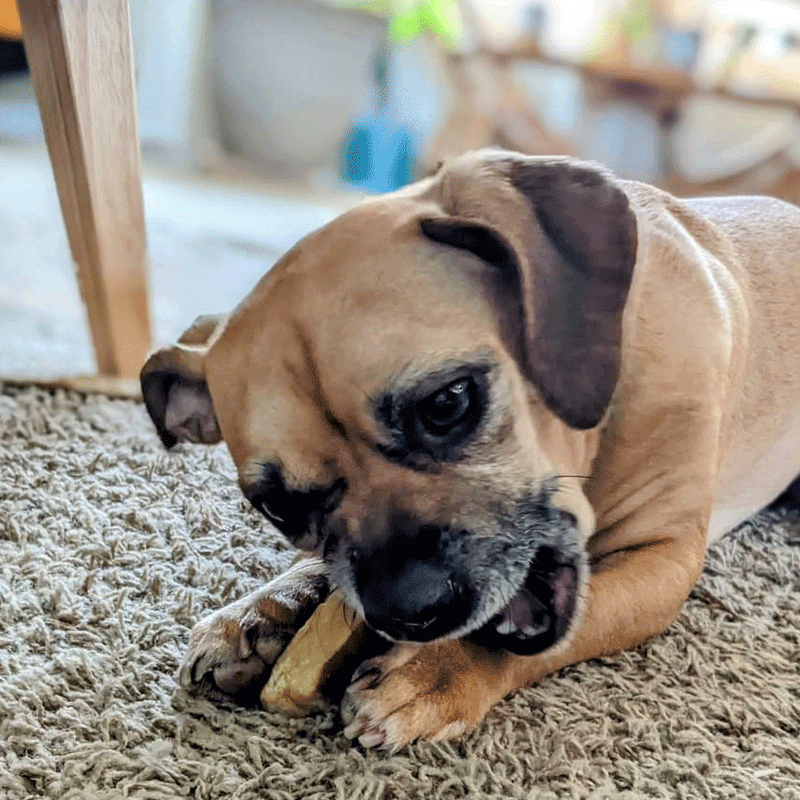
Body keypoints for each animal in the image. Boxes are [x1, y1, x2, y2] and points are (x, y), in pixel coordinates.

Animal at [141, 148, 800, 752]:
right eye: (279, 507)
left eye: (446, 402)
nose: (410, 611)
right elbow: (319, 568)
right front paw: (260, 609)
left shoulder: (663, 557)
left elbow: (558, 624)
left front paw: (440, 671)